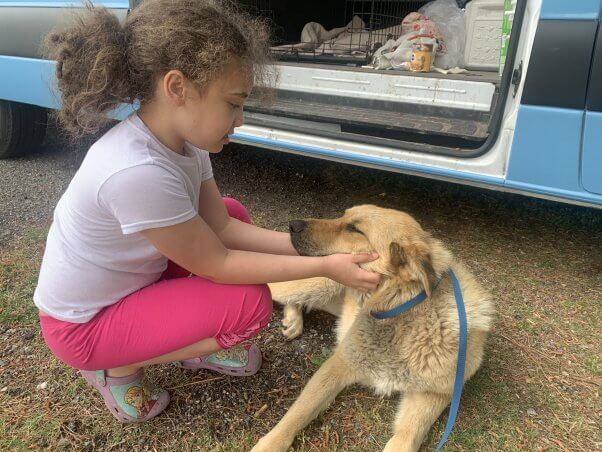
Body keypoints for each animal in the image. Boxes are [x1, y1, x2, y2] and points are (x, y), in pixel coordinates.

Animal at [252, 206, 492, 452]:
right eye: (343, 216)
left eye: (355, 229)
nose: (292, 225)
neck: (401, 312)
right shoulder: (336, 366)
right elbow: (298, 413)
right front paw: (269, 445)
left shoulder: (435, 393)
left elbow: (405, 438)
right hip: (314, 284)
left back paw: (293, 321)